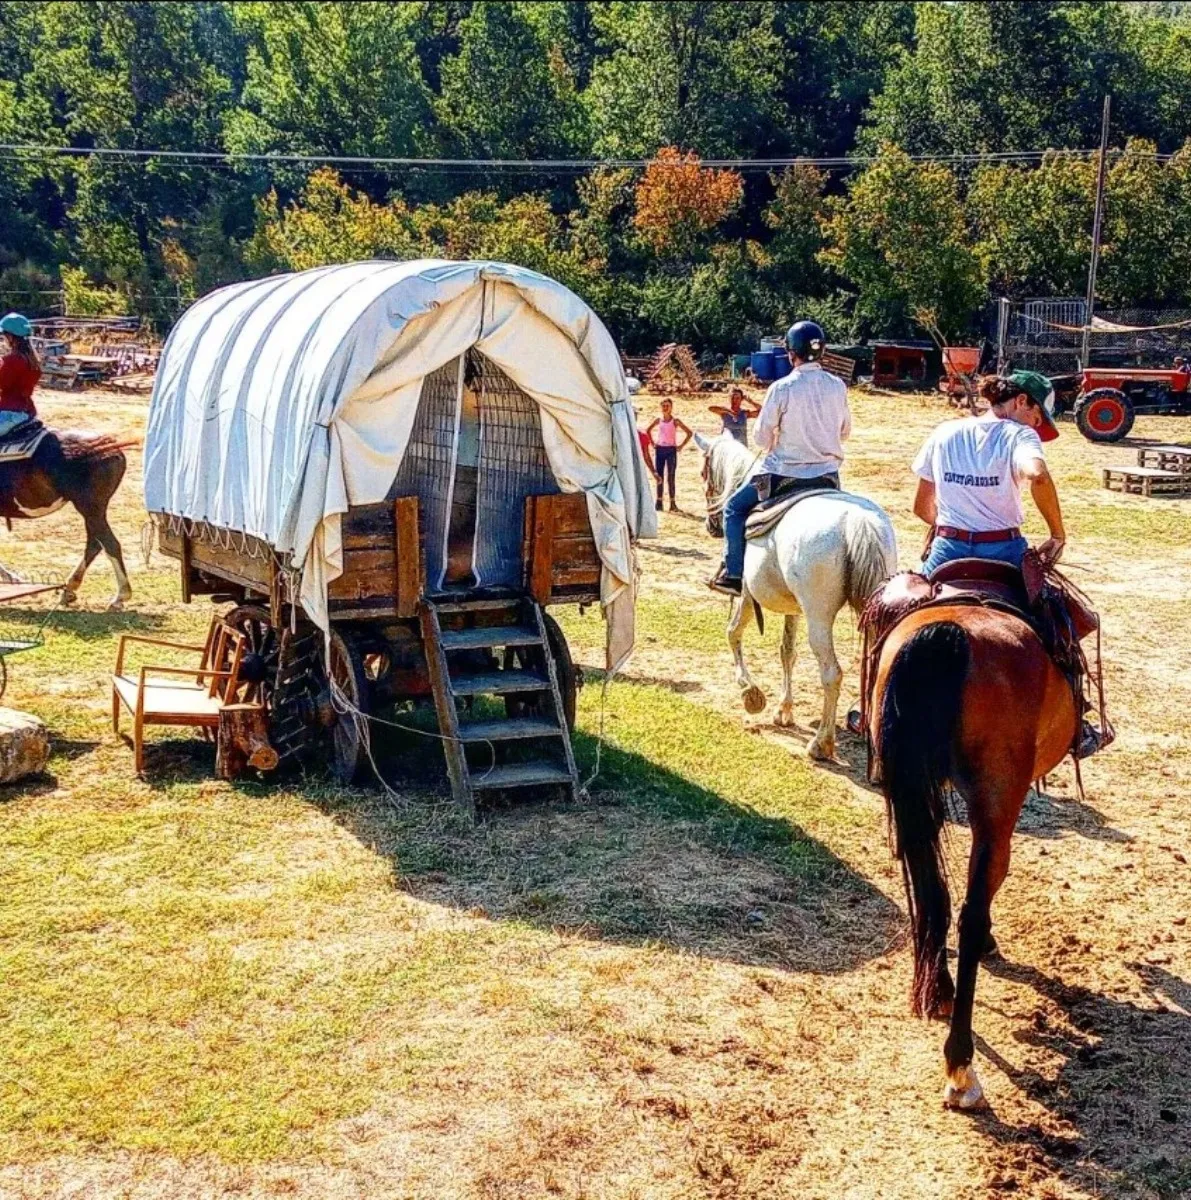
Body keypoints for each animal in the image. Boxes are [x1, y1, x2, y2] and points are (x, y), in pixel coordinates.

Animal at [0, 430, 133, 609]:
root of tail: (113, 449)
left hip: (90, 508)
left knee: (109, 544)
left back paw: (121, 596)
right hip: (94, 511)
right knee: (95, 544)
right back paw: (70, 589)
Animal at [694, 431, 897, 759]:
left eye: (703, 472)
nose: (711, 526)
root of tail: (859, 522)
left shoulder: (748, 596)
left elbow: (732, 632)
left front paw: (750, 692)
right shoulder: (794, 609)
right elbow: (787, 651)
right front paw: (784, 711)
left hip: (819, 617)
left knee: (831, 673)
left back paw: (821, 743)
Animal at [870, 604, 1077, 1109]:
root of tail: (948, 633)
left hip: (912, 795)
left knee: (932, 896)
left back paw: (939, 991)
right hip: (995, 805)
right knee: (969, 915)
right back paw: (961, 1066)